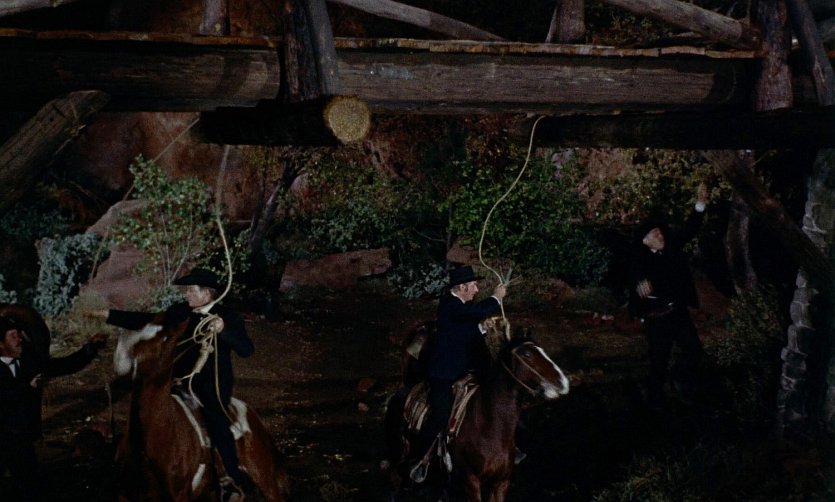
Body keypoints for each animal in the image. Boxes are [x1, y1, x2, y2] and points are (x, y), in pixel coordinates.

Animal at [113, 313, 289, 501]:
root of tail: (252, 415)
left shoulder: (180, 495)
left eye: (165, 338)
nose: (122, 361)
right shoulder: (124, 495)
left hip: (266, 481)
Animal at [385, 317, 570, 502]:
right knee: (394, 477)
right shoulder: (471, 481)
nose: (562, 382)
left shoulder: (501, 482)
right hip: (398, 453)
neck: (489, 428)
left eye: (542, 350)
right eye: (527, 355)